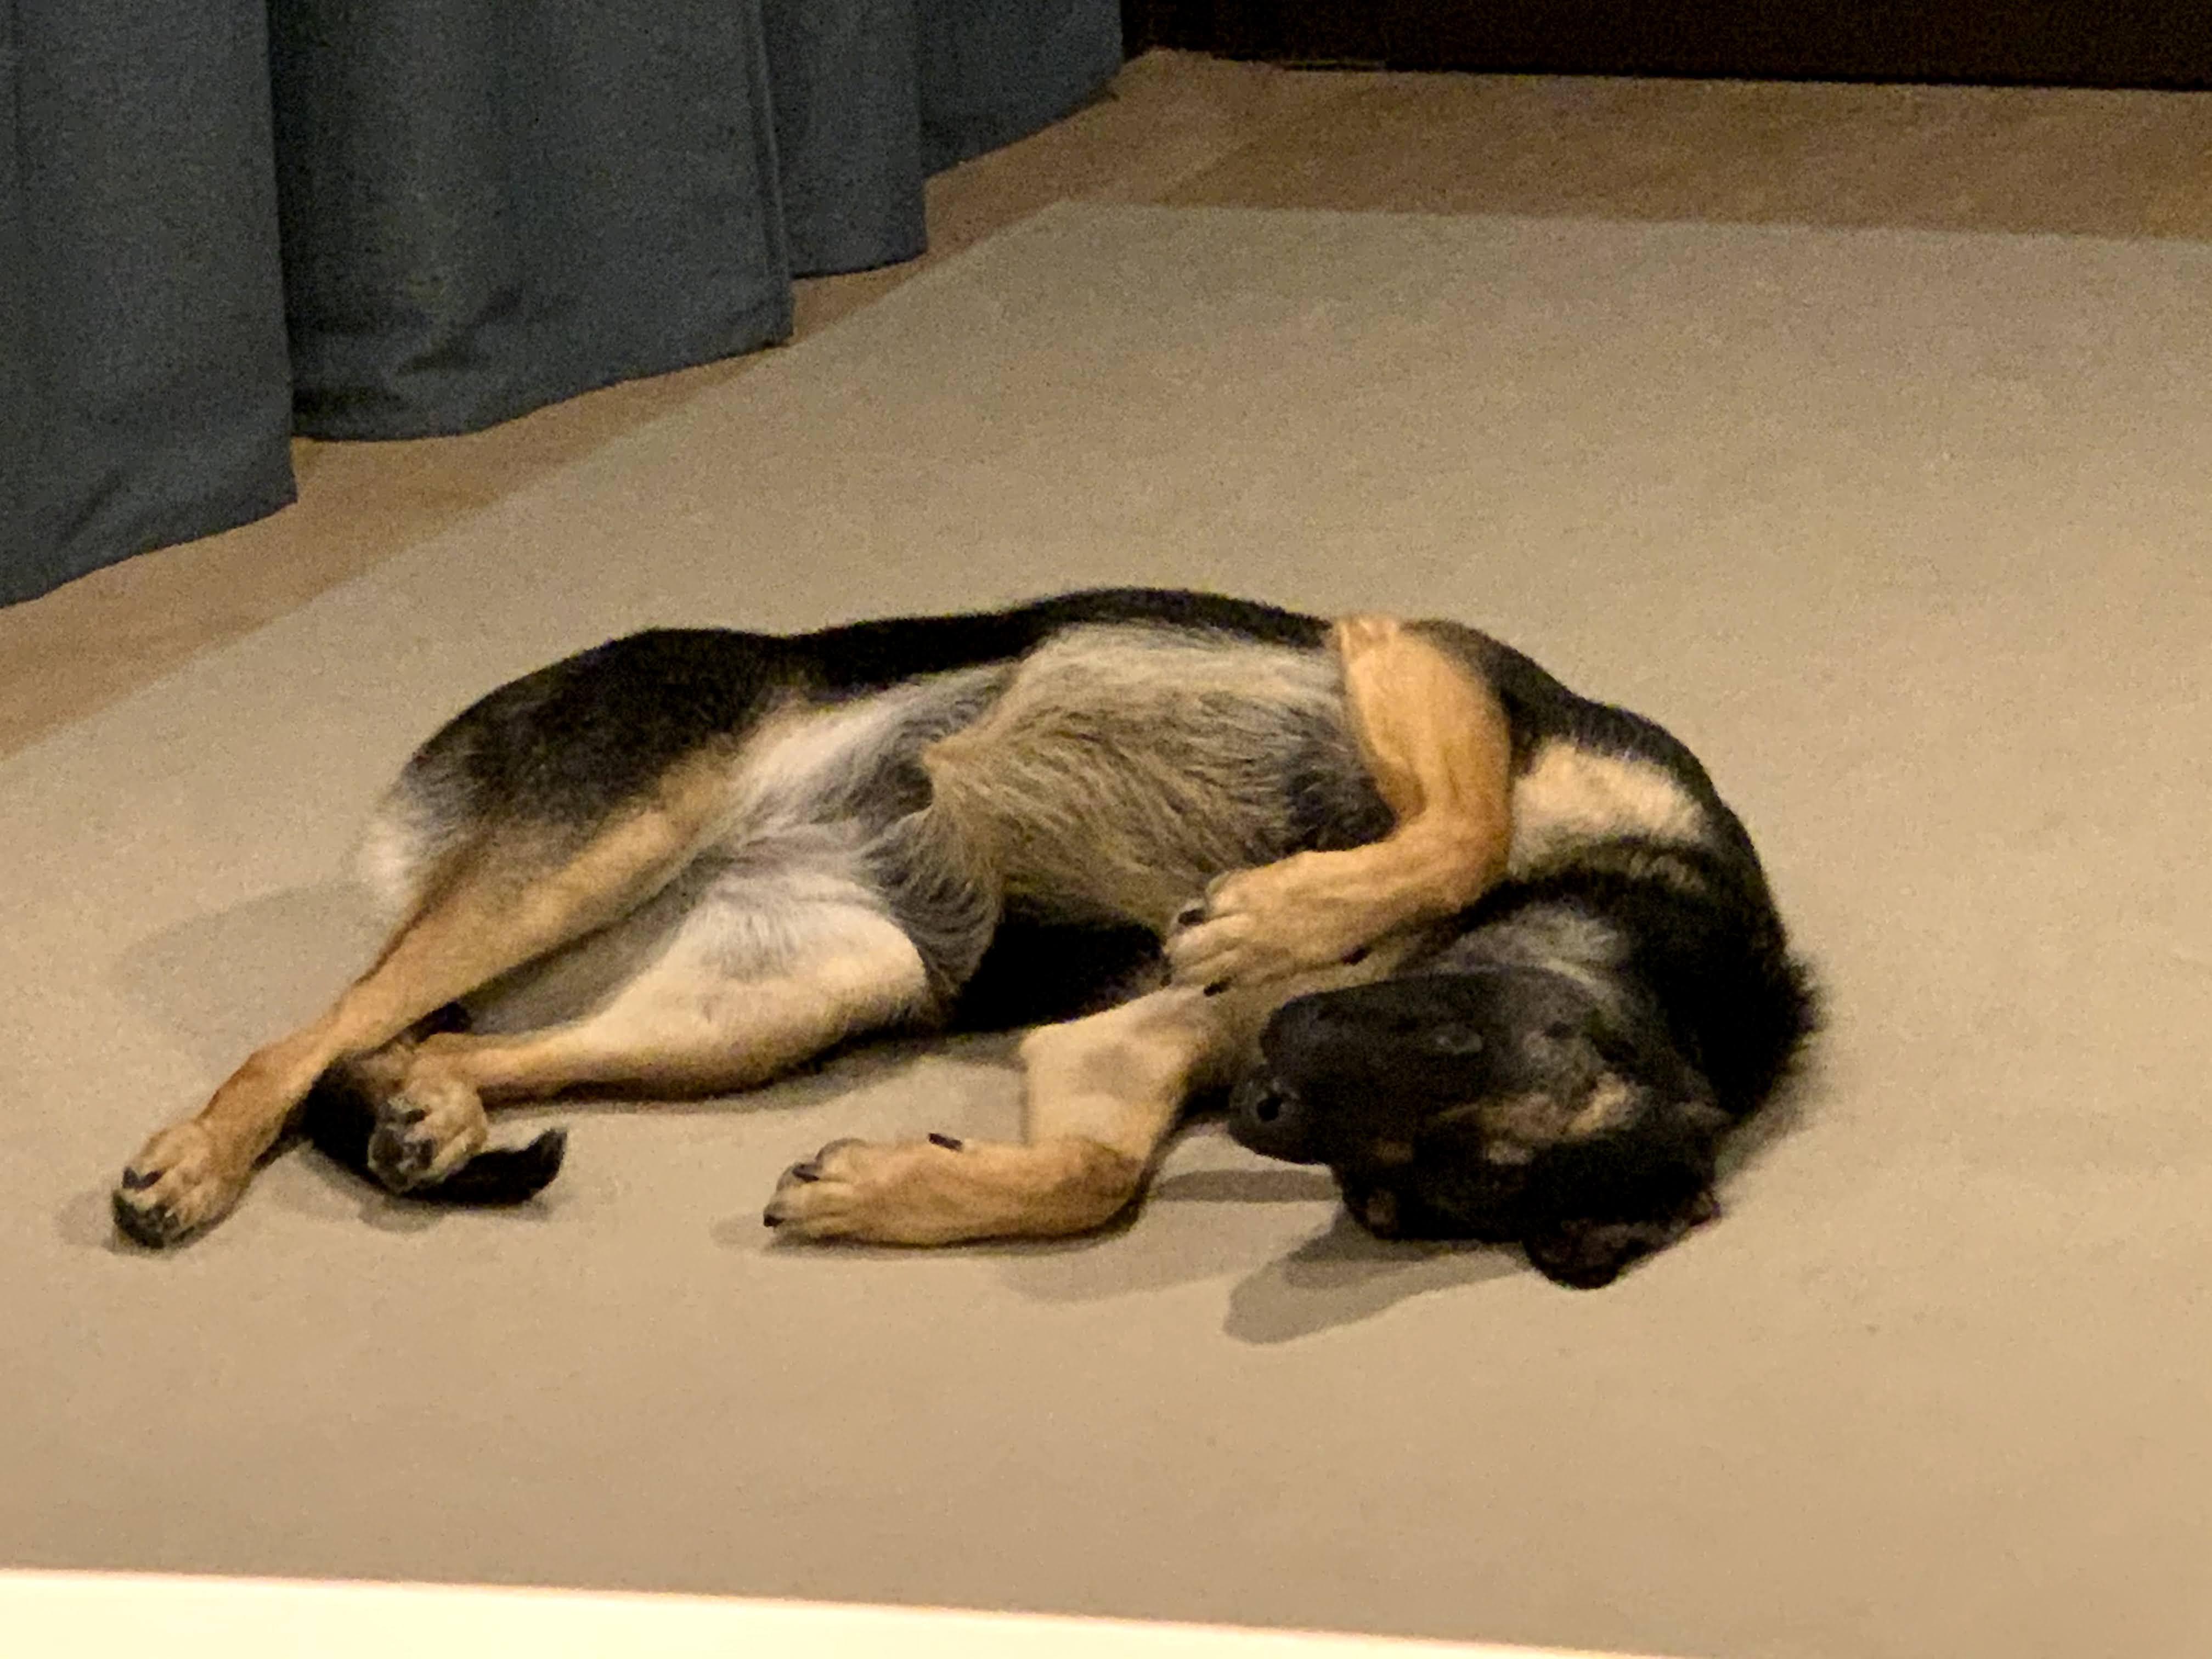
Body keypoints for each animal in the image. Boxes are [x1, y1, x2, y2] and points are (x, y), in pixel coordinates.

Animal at [111, 588, 1815, 1287]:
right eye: (1452, 1030)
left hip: (799, 988)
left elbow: (1094, 1177)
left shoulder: (1127, 1041)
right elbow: (1454, 828)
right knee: (303, 1035)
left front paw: (883, 1191)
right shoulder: (1428, 663)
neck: (1659, 912)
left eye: (1394, 1197)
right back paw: (195, 1162)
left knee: (427, 1039)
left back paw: (433, 1111)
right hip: (605, 840)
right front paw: (1284, 902)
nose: (1266, 1101)